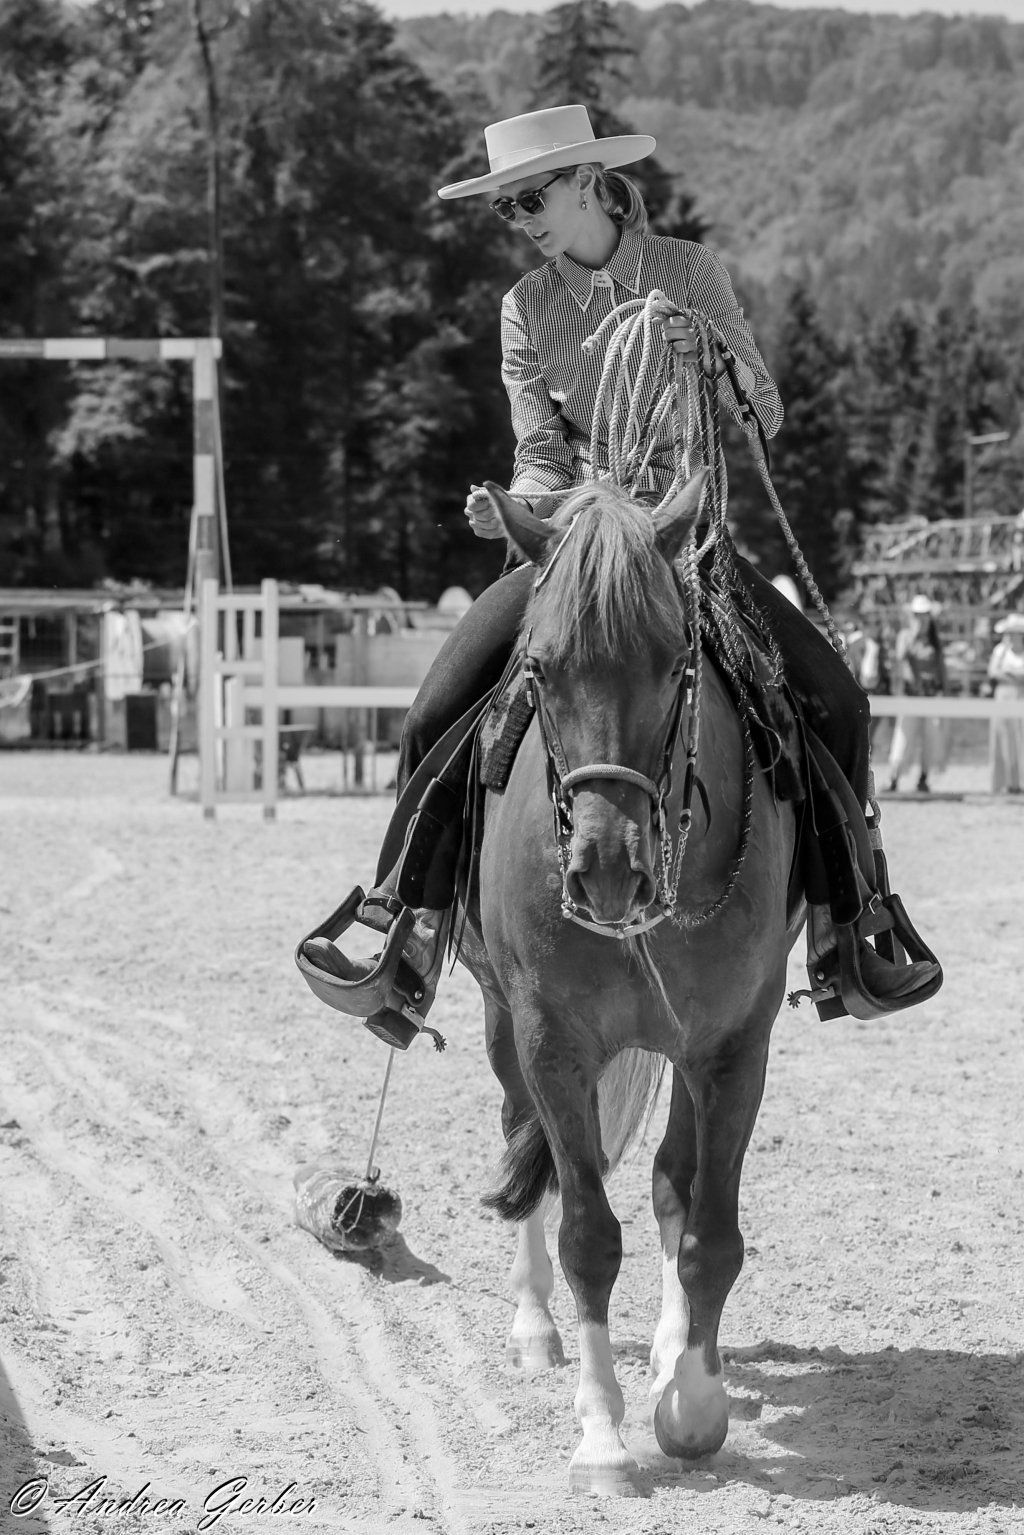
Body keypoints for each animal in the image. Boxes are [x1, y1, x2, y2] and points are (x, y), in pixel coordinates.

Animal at [456, 472, 803, 1497]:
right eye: (538, 668)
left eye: (677, 661)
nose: (608, 867)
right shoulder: (552, 1042)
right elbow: (586, 1233)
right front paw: (603, 1438)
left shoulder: (733, 1046)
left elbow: (708, 1229)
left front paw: (691, 1403)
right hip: (500, 1022)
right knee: (519, 1145)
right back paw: (535, 1326)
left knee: (670, 1181)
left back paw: (668, 1351)